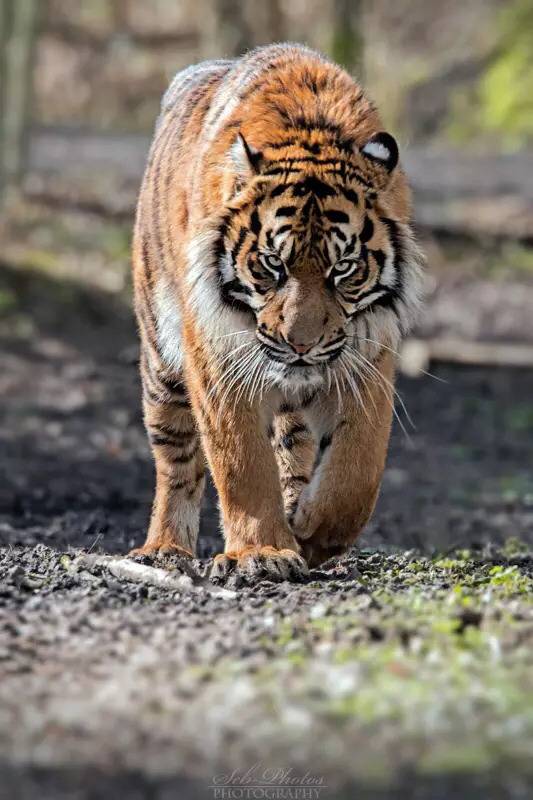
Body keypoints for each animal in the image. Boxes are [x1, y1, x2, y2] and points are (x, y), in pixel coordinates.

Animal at [130, 43, 424, 580]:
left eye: (343, 268)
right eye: (272, 264)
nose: (301, 344)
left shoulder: (369, 356)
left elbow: (359, 467)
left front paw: (313, 532)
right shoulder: (217, 356)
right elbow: (241, 463)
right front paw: (263, 553)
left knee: (294, 447)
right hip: (162, 362)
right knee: (177, 461)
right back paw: (165, 549)